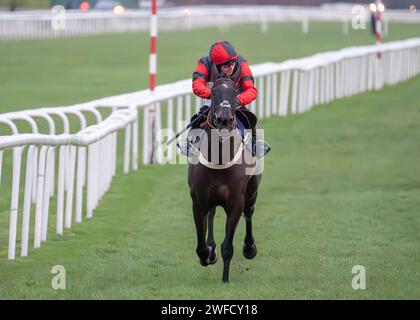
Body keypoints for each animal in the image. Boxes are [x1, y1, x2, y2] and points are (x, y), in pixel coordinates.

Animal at [187, 76, 262, 282]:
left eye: (235, 92)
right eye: (213, 93)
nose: (224, 119)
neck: (219, 160)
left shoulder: (236, 202)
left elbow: (228, 246)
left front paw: (225, 279)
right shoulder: (198, 201)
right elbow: (200, 245)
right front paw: (208, 254)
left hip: (252, 191)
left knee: (249, 211)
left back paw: (250, 248)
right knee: (212, 213)